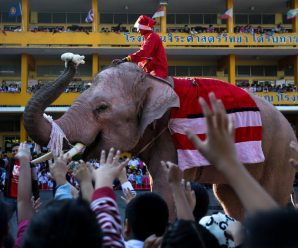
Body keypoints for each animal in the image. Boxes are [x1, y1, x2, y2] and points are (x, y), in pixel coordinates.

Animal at [23, 54, 296, 221]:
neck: (153, 80)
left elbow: (167, 187)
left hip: (280, 152)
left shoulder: (171, 136)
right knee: (230, 198)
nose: (71, 59)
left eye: (102, 108)